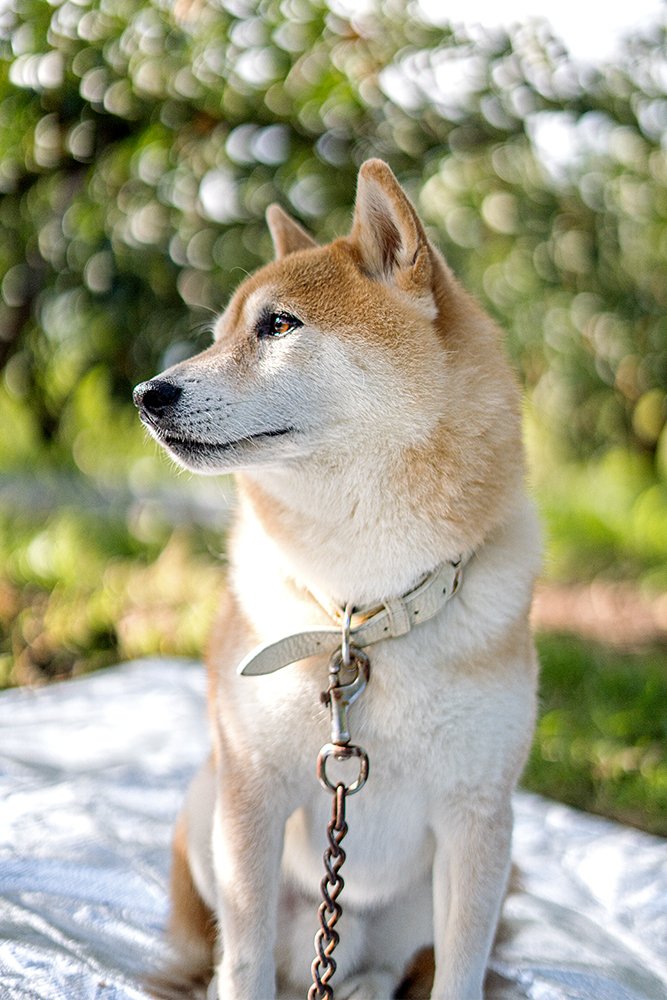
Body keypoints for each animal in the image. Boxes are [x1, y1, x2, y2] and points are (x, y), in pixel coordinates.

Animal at [134, 160, 544, 996]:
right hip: (207, 807)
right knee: (237, 951)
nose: (146, 395)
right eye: (220, 335)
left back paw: (359, 982)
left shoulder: (478, 817)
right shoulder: (253, 794)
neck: (363, 607)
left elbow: (459, 971)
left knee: (387, 961)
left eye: (278, 325)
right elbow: (246, 960)